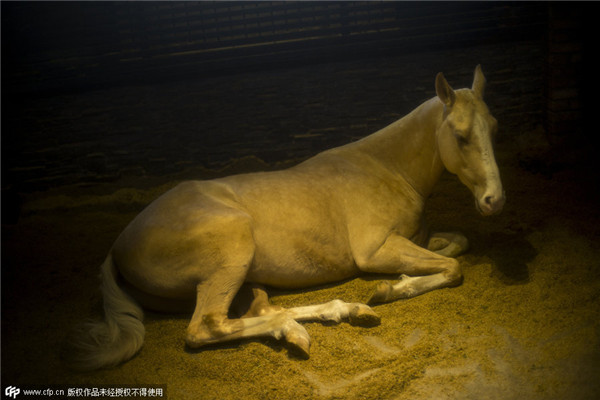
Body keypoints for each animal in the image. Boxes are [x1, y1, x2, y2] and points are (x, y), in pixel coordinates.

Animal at [65, 64, 504, 370]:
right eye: (461, 135)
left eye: (495, 127)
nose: (494, 200)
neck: (388, 168)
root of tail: (119, 245)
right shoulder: (376, 250)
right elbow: (452, 268)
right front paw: (390, 289)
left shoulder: (413, 239)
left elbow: (456, 246)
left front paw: (400, 280)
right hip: (232, 253)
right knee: (208, 326)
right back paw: (331, 317)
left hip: (238, 275)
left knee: (259, 309)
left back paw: (324, 319)